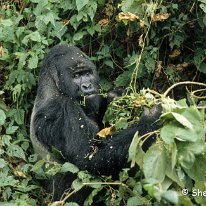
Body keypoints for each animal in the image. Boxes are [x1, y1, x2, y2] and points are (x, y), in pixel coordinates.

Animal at [29, 44, 161, 204]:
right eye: (76, 76)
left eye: (87, 73)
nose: (87, 85)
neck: (53, 87)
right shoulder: (59, 109)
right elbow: (89, 157)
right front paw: (151, 116)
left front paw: (115, 97)